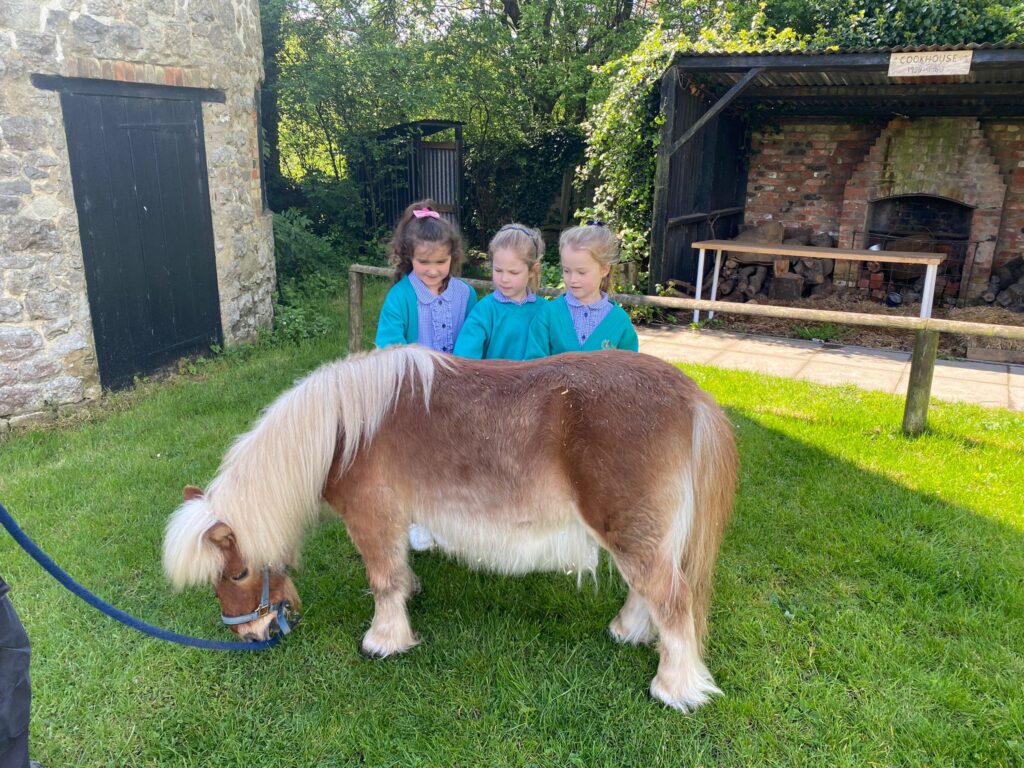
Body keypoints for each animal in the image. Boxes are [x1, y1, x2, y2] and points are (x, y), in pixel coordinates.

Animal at [161, 346, 737, 712]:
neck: (343, 430)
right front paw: (408, 598)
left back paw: (674, 689)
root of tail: (690, 394)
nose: (250, 636)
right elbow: (397, 570)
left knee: (670, 597)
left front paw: (384, 640)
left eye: (235, 575)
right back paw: (629, 632)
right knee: (651, 591)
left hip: (629, 529)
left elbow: (382, 580)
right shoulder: (394, 520)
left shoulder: (371, 517)